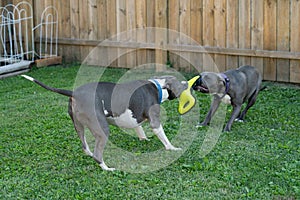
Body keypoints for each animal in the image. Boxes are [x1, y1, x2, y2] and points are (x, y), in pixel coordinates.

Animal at [21, 74, 188, 171]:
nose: (187, 81)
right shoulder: (155, 122)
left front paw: (144, 139)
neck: (158, 86)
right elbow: (164, 138)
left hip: (79, 126)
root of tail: (74, 93)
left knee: (85, 146)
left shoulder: (135, 119)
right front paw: (173, 148)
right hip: (102, 129)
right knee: (97, 154)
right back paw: (107, 168)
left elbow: (139, 129)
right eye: (179, 84)